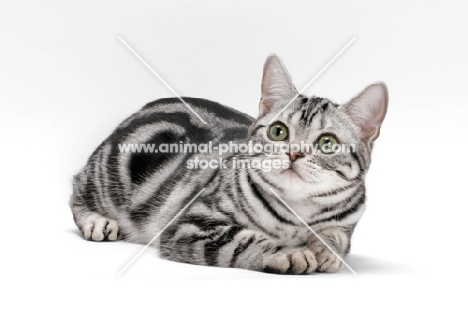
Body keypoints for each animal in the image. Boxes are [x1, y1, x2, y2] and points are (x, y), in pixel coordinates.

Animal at [71, 54, 388, 274]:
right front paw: (289, 252)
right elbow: (245, 240)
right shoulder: (190, 224)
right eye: (278, 132)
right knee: (78, 184)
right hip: (110, 174)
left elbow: (337, 235)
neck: (298, 212)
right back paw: (96, 221)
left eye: (327, 143)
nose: (293, 153)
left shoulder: (349, 221)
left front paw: (325, 248)